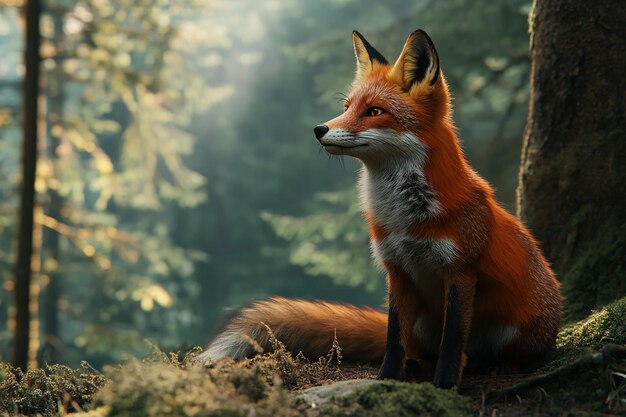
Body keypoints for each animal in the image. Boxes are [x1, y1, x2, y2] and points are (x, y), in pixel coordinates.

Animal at [201, 30, 560, 388]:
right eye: (346, 107)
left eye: (375, 111)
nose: (319, 130)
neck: (403, 218)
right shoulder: (396, 269)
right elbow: (393, 338)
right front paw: (386, 378)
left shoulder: (460, 271)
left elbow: (453, 340)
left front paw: (445, 385)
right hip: (423, 325)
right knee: (426, 351)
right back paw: (418, 367)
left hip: (515, 330)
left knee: (487, 356)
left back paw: (499, 366)